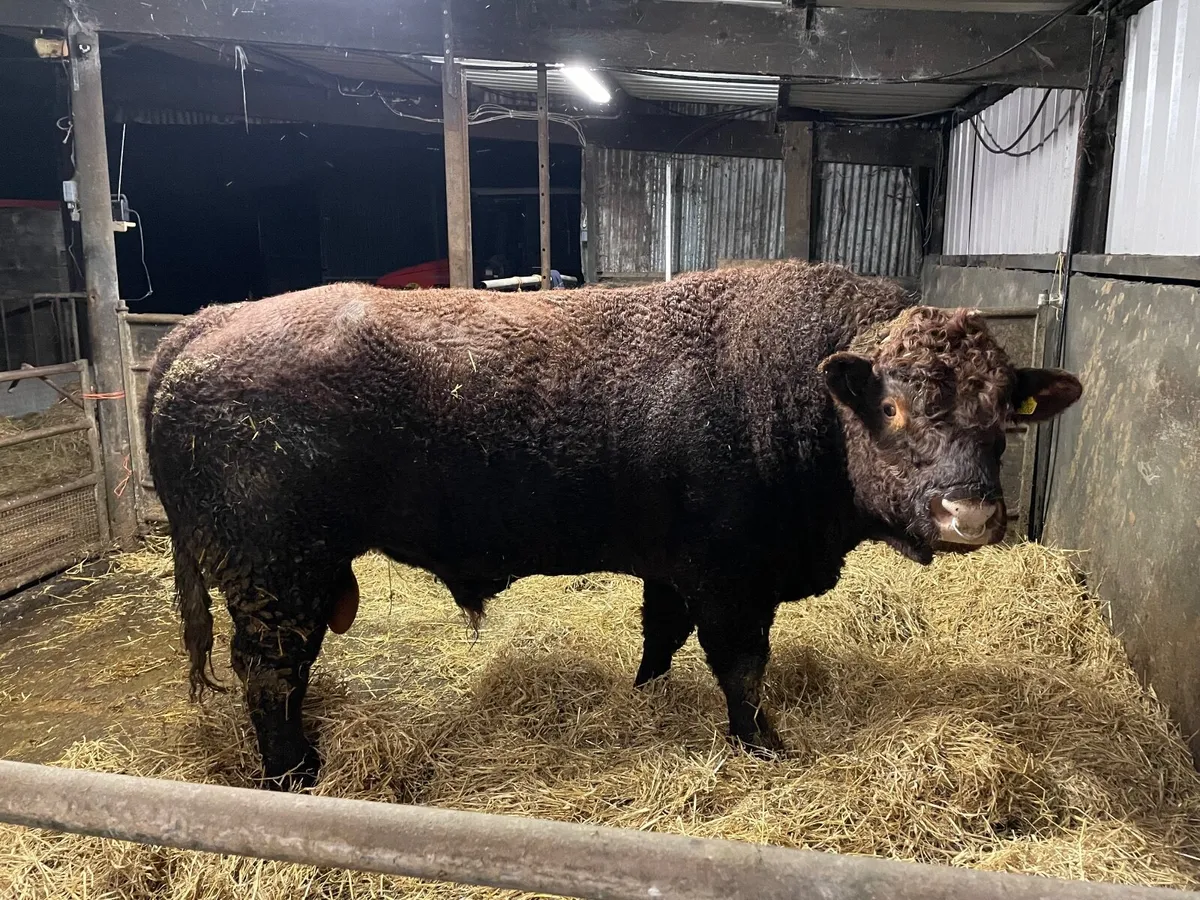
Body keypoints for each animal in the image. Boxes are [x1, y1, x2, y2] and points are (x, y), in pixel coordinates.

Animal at [143, 261, 1082, 790]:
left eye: (1005, 412)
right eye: (891, 405)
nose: (971, 513)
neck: (796, 391)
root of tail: (213, 322)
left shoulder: (672, 568)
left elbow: (660, 634)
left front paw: (647, 694)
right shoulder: (734, 580)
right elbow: (742, 667)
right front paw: (763, 743)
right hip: (274, 572)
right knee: (270, 668)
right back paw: (293, 771)